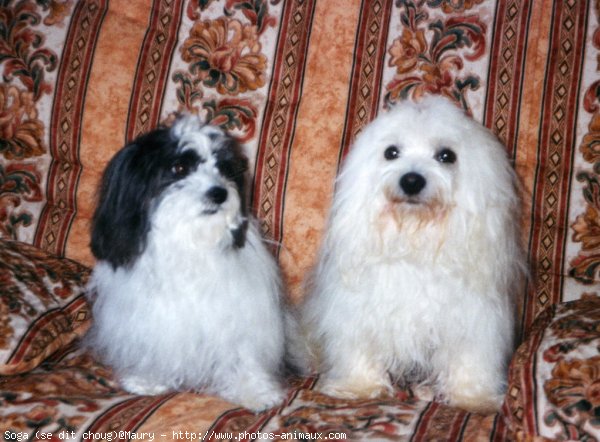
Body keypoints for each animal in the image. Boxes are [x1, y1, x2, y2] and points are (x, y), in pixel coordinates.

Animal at [86, 114, 288, 410]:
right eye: (179, 167)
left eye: (223, 168)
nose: (219, 193)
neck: (191, 242)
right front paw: (148, 379)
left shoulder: (238, 317)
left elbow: (242, 355)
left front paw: (255, 392)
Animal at [300, 96, 524, 414]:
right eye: (391, 152)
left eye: (446, 156)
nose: (412, 180)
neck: (414, 237)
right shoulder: (359, 313)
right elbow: (358, 349)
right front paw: (357, 388)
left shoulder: (473, 320)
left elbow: (471, 361)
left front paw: (474, 398)